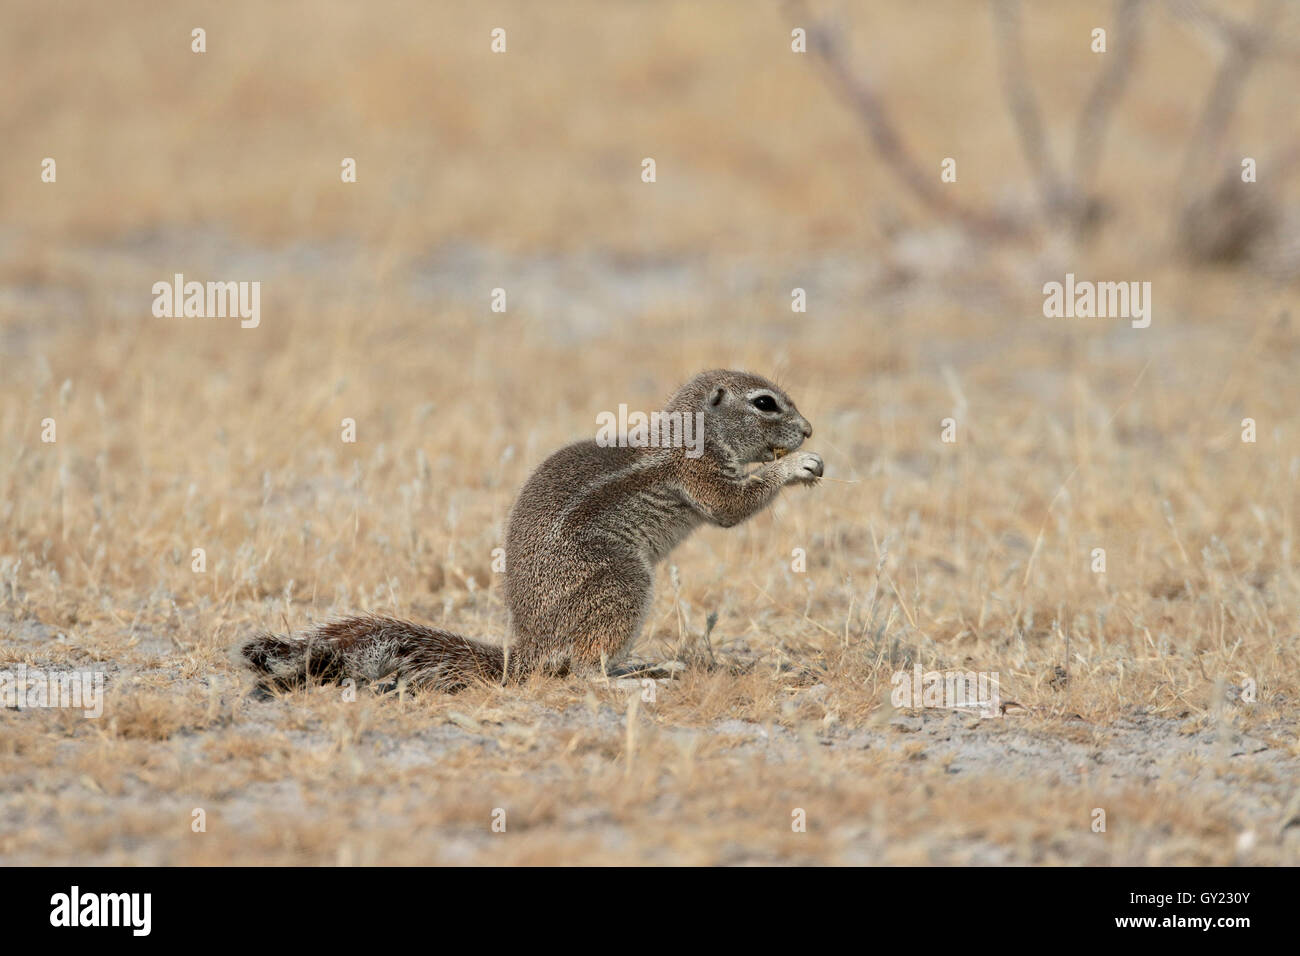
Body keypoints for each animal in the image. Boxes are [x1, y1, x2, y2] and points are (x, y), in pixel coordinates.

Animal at [244, 369, 821, 691]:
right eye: (765, 403)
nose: (810, 430)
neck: (689, 435)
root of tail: (530, 649)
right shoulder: (698, 473)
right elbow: (730, 507)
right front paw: (797, 467)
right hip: (623, 581)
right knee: (583, 671)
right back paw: (631, 683)